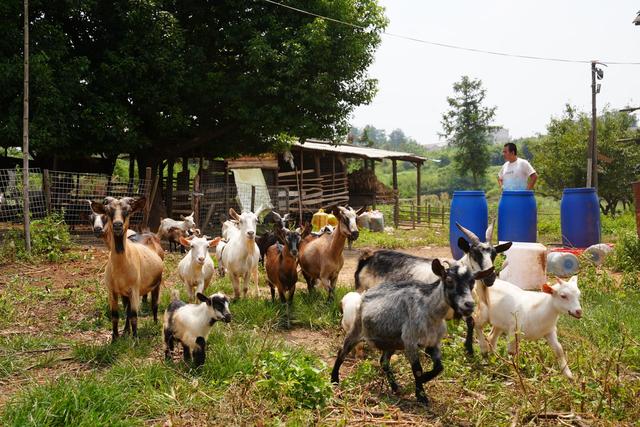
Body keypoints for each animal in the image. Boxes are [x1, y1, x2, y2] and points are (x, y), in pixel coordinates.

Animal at [91, 197, 164, 342]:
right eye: (108, 211)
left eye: (128, 211)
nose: (118, 225)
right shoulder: (113, 291)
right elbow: (116, 315)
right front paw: (115, 339)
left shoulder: (134, 289)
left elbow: (134, 315)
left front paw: (135, 341)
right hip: (126, 293)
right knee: (128, 310)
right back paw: (126, 331)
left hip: (157, 283)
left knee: (154, 304)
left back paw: (154, 323)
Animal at [332, 260, 492, 406]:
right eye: (449, 280)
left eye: (472, 282)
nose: (469, 305)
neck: (430, 312)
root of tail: (364, 295)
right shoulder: (410, 341)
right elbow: (418, 370)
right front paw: (421, 395)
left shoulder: (433, 343)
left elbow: (439, 367)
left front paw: (423, 381)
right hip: (356, 330)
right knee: (342, 352)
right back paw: (334, 380)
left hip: (393, 342)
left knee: (384, 361)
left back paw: (395, 388)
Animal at [352, 222, 512, 356]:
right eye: (474, 253)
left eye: (494, 254)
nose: (490, 277)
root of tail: (368, 257)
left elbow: (471, 322)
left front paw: (471, 349)